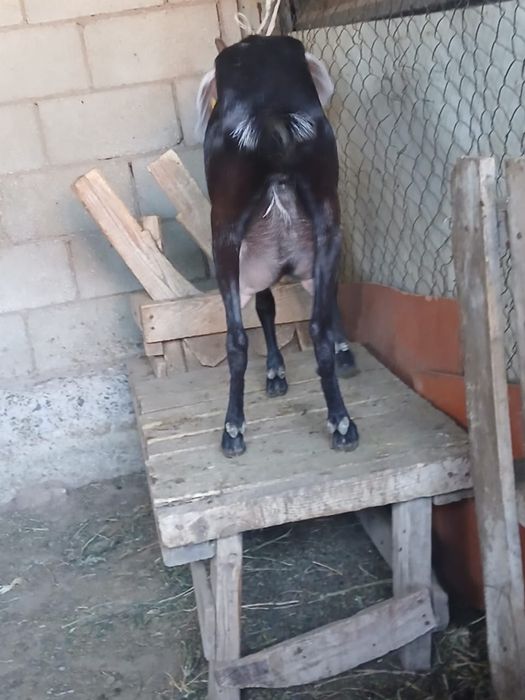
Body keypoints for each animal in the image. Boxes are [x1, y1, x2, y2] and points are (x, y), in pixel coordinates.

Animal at [196, 34, 359, 457]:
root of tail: (270, 120)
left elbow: (266, 309)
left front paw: (275, 371)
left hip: (227, 241)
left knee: (238, 338)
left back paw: (233, 428)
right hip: (326, 229)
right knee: (318, 324)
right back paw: (341, 422)